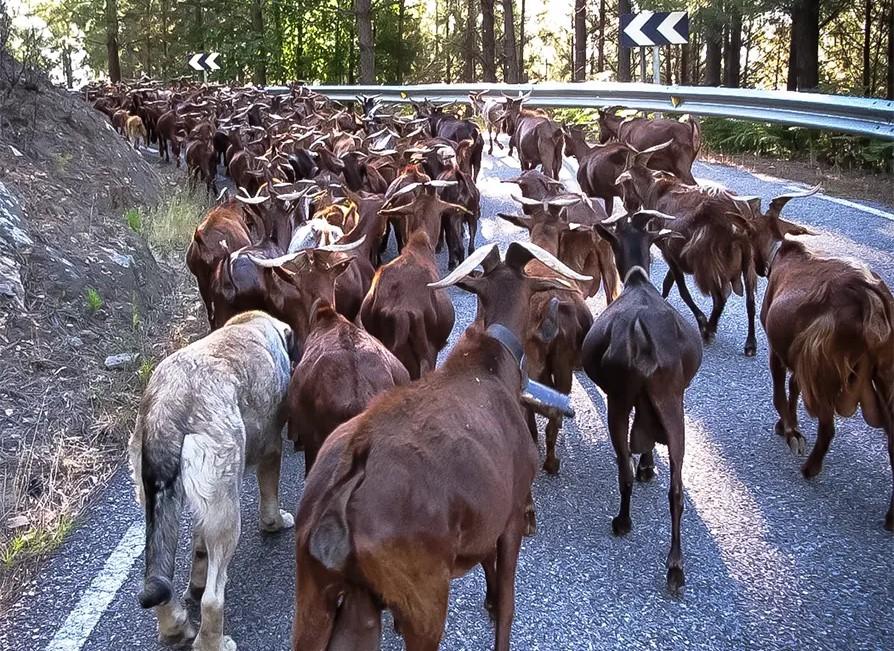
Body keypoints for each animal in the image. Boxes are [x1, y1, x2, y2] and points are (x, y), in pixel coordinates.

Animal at [130, 312, 300, 651]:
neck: (249, 325)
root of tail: (167, 407)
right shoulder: (271, 446)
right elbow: (270, 498)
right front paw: (276, 522)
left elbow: (198, 546)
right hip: (226, 508)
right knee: (212, 598)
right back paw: (213, 642)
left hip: (159, 500)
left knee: (160, 576)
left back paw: (175, 626)